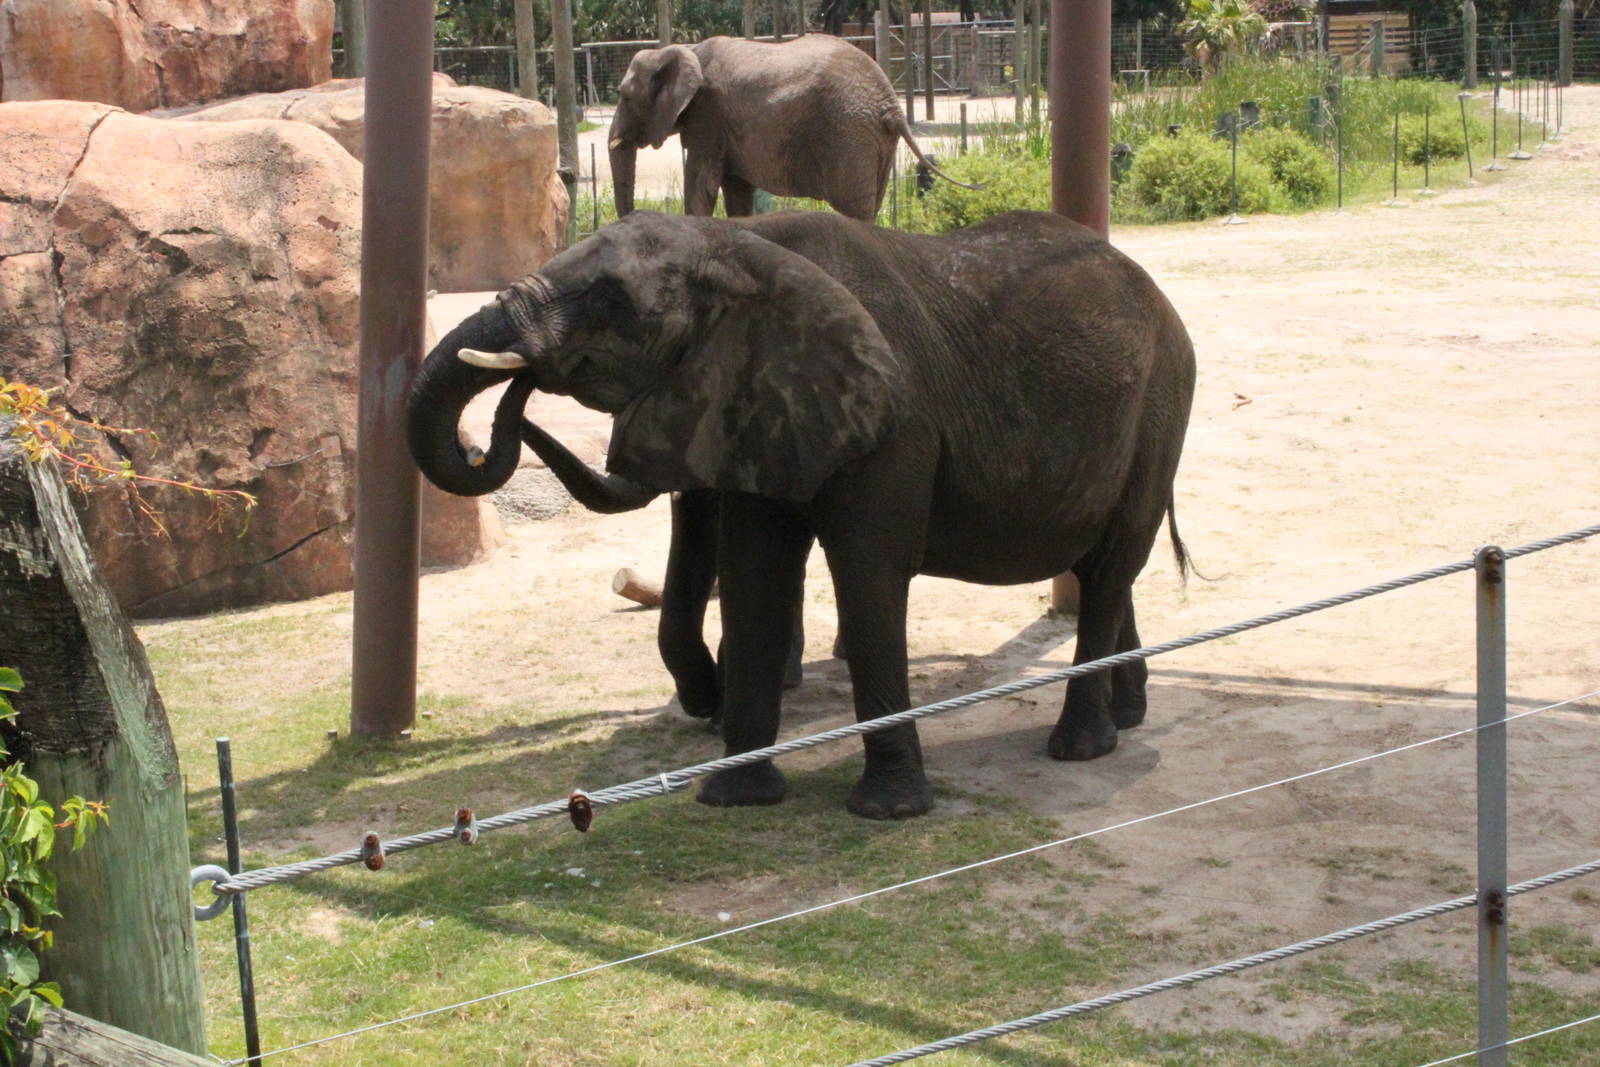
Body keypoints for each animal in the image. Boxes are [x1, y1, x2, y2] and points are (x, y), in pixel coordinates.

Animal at [406, 209, 1196, 820]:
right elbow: (755, 571)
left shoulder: (894, 422)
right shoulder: (754, 398)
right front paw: (734, 797)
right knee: (1103, 565)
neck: (731, 241)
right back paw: (1128, 715)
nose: (515, 399)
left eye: (610, 301)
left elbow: (868, 571)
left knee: (1110, 564)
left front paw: (888, 811)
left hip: (1163, 401)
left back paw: (1081, 747)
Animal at [607, 35, 975, 221]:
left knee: (855, 210)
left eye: (625, 96)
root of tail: (891, 104)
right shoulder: (723, 126)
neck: (685, 49)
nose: (632, 218)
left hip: (849, 134)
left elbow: (702, 187)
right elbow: (737, 192)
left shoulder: (707, 118)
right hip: (876, 140)